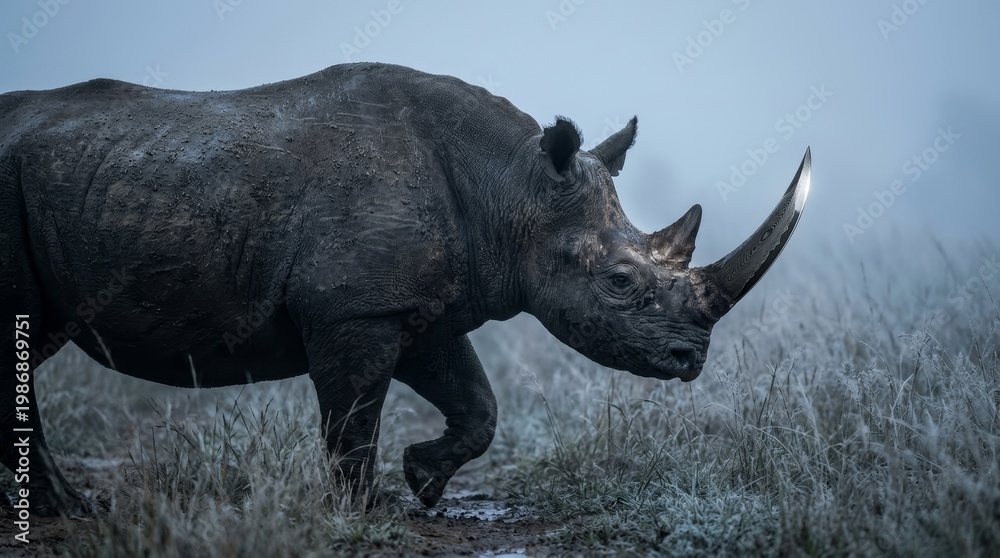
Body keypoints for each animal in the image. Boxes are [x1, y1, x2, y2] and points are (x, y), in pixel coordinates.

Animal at [0, 63, 809, 515]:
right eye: (619, 281)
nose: (689, 360)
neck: (512, 187)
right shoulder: (354, 309)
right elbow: (353, 419)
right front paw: (366, 512)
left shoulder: (418, 305)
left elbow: (478, 406)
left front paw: (421, 481)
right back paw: (74, 511)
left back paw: (62, 510)